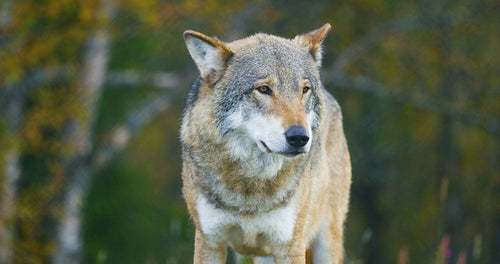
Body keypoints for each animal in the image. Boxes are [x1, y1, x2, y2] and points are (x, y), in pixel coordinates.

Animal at [180, 23, 352, 262]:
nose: (299, 137)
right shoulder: (209, 241)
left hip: (325, 242)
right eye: (263, 89)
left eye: (304, 90)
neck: (251, 185)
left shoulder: (290, 245)